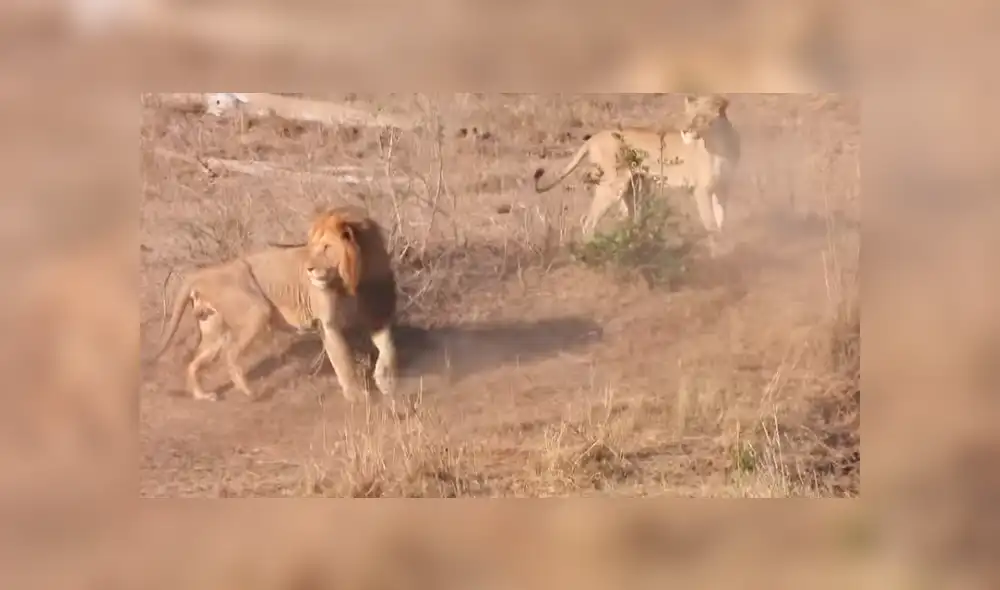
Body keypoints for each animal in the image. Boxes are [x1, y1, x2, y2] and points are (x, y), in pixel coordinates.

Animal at [149, 206, 398, 403]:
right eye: (312, 248)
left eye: (327, 247)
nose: (309, 269)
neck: (355, 278)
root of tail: (202, 274)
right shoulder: (329, 324)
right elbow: (344, 361)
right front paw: (357, 395)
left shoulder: (377, 313)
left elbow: (388, 347)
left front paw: (384, 381)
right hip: (256, 310)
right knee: (230, 354)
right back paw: (250, 392)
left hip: (213, 328)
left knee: (194, 362)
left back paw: (203, 395)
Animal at [532, 94, 741, 253]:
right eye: (687, 114)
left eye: (700, 117)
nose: (684, 130)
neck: (720, 142)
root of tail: (595, 136)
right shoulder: (701, 190)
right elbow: (711, 225)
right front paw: (717, 254)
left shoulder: (724, 188)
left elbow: (722, 220)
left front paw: (725, 246)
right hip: (613, 184)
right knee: (588, 220)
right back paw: (593, 251)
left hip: (634, 187)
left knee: (629, 219)